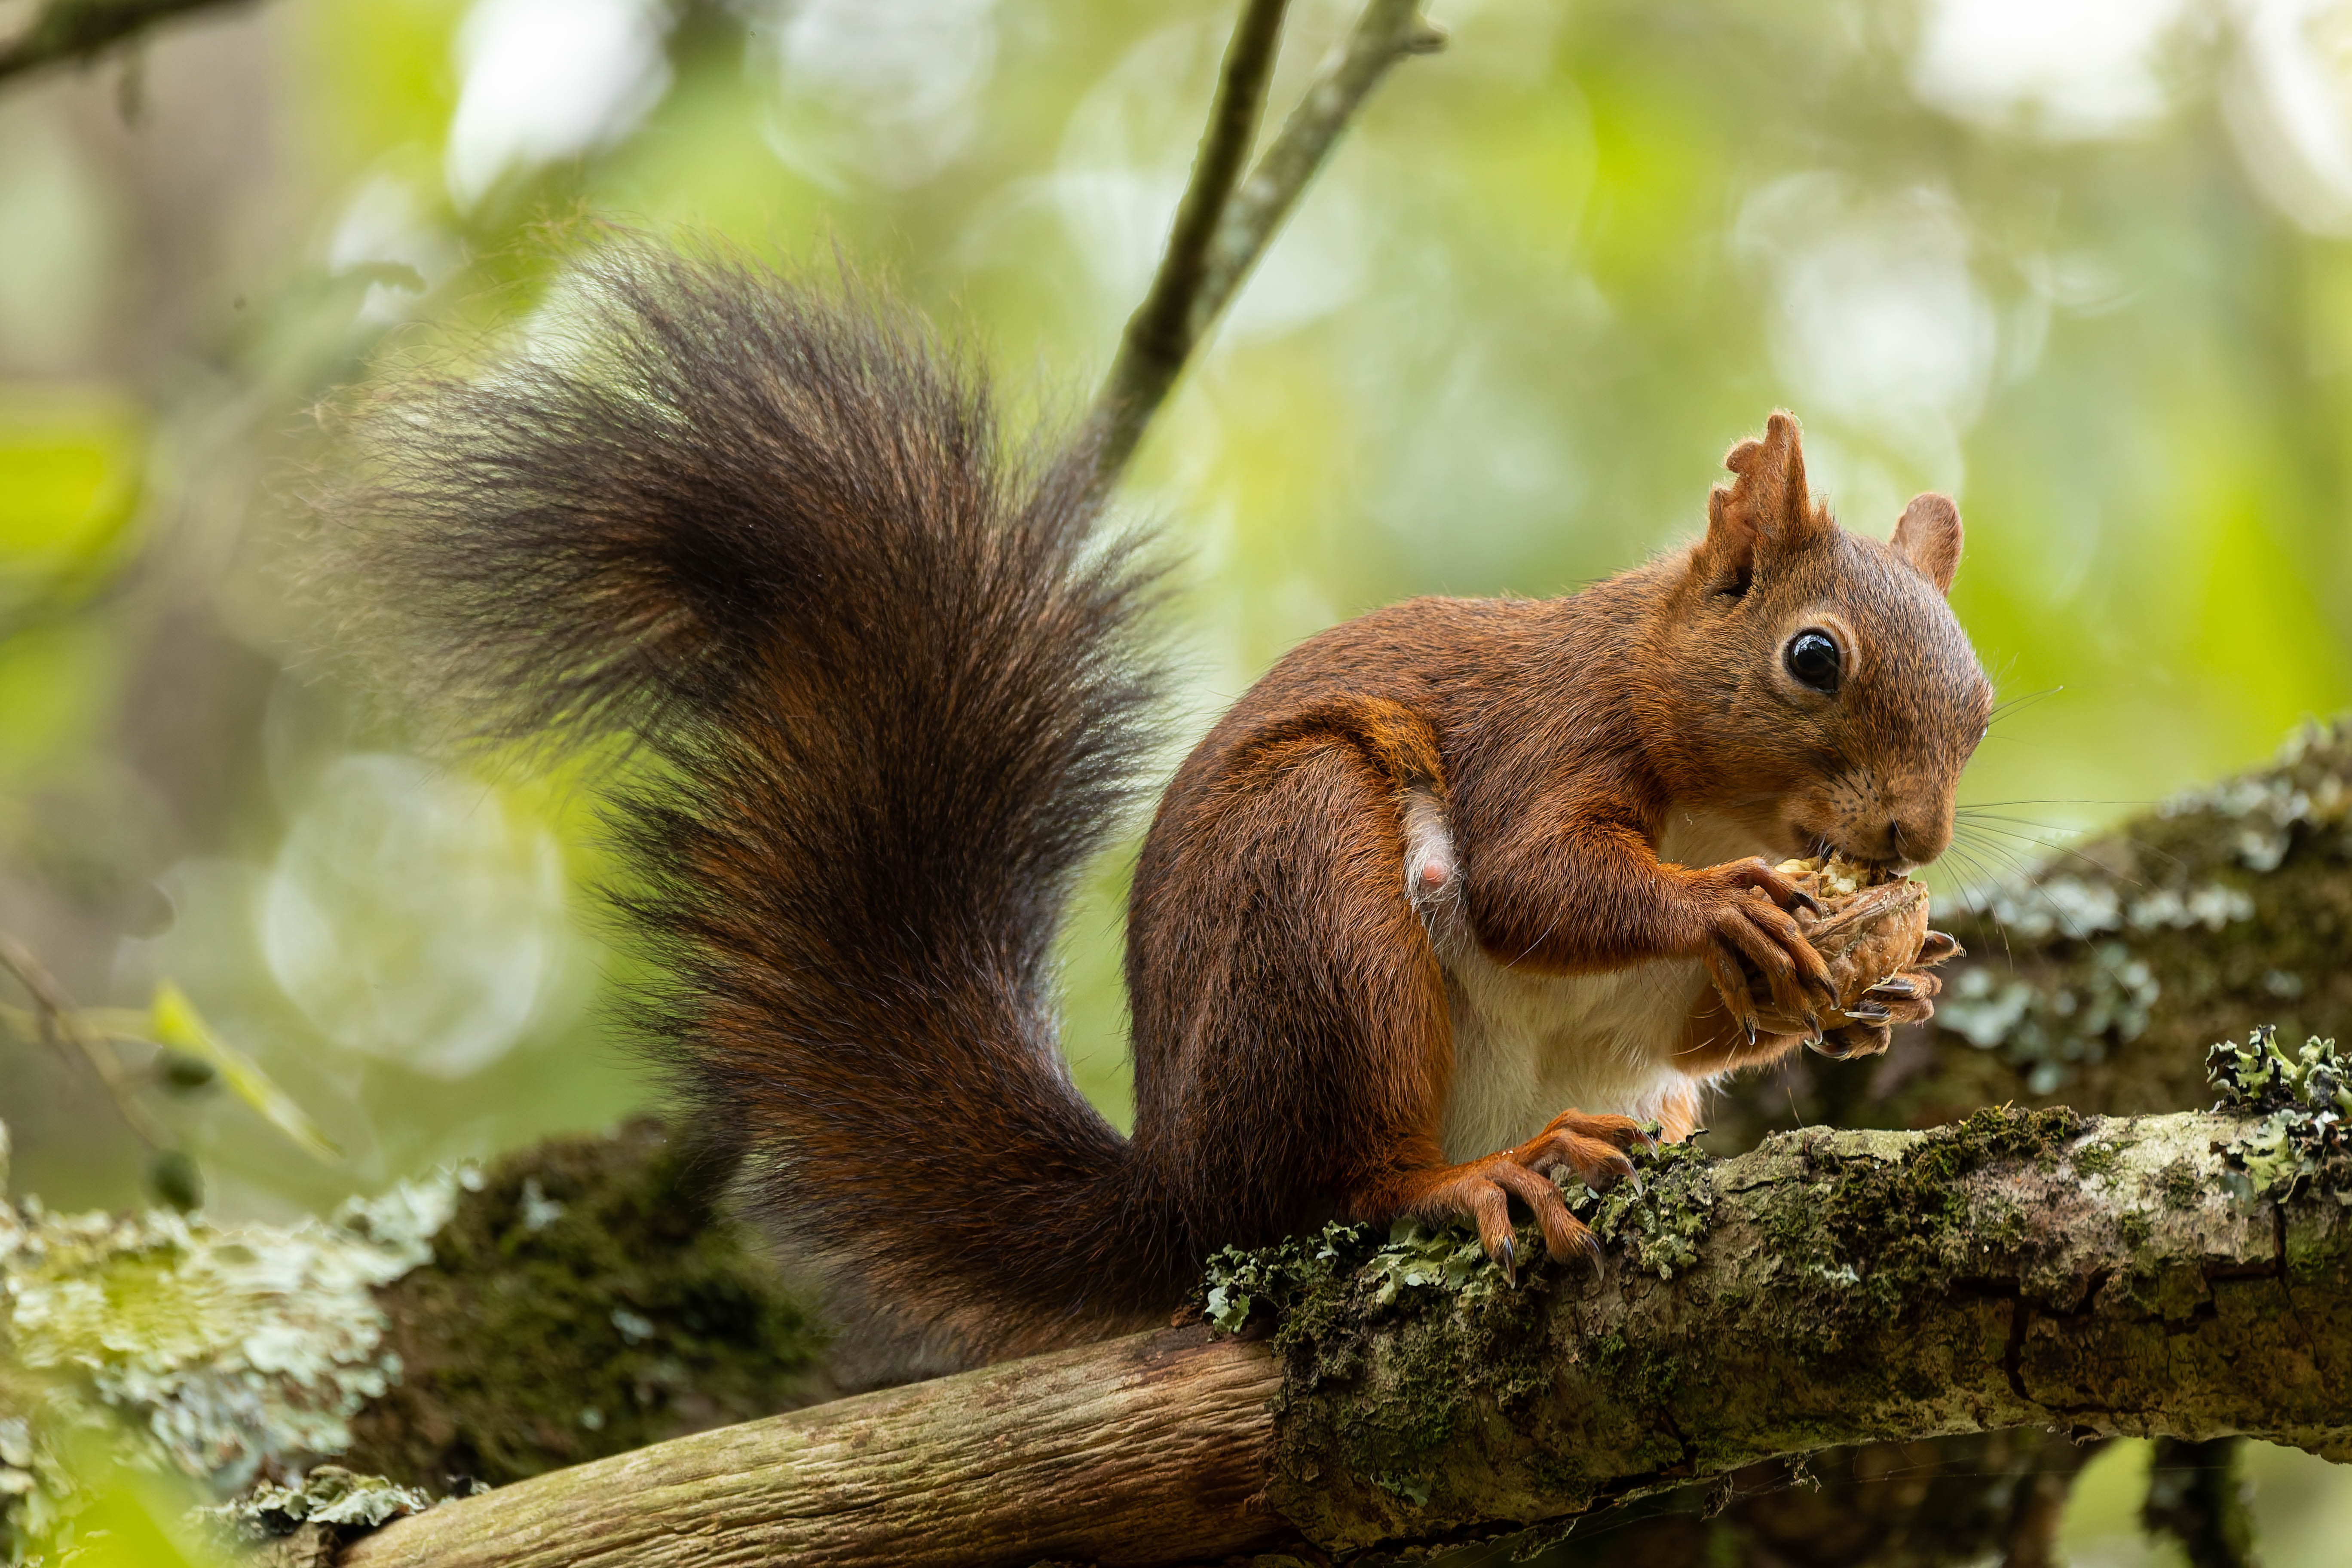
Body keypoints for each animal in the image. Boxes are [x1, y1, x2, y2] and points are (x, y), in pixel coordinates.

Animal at [323, 243, 1992, 1363]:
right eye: (1814, 656)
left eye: (1977, 703)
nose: (1911, 840)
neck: (1712, 785)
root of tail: (1179, 1187)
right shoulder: (1548, 733)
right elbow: (1533, 883)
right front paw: (1733, 908)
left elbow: (1698, 1022)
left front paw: (1872, 982)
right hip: (1312, 905)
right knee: (1333, 1187)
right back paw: (1465, 1178)